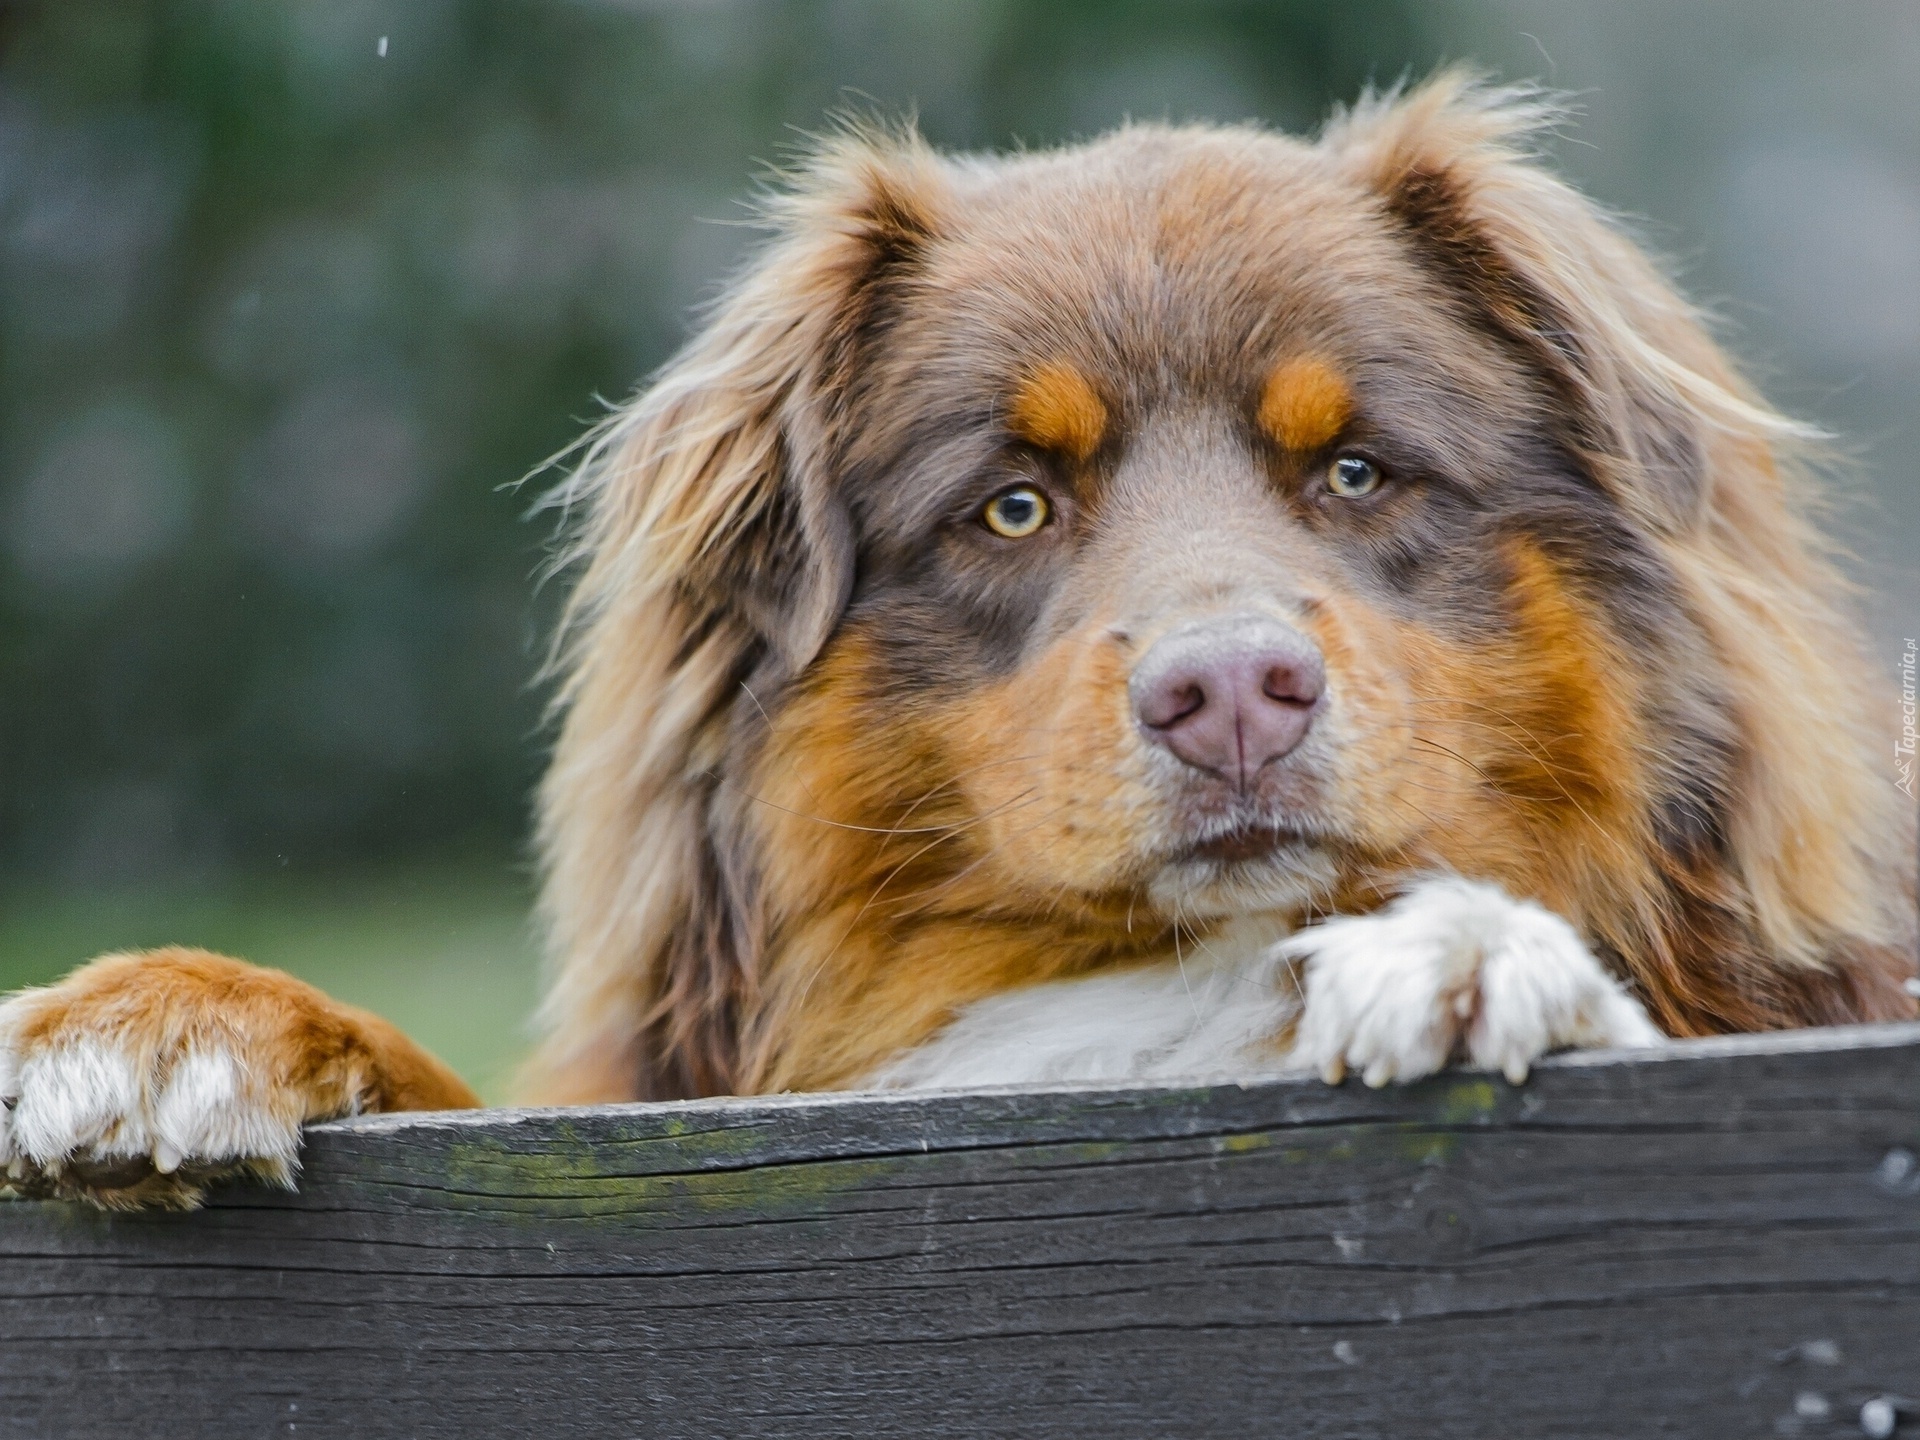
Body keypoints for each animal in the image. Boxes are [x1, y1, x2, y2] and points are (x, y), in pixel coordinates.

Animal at [3, 76, 1920, 1205]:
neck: (1173, 994)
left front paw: (1464, 955)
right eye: (1011, 507)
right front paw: (173, 1017)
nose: (1230, 697)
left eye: (1358, 470)